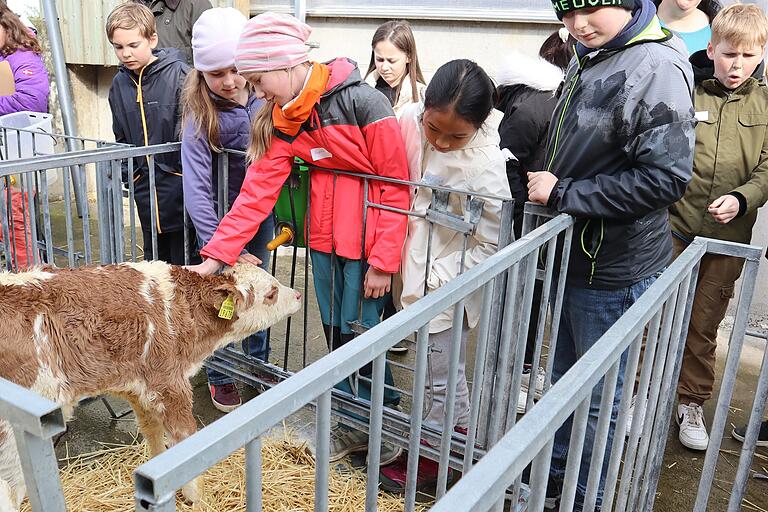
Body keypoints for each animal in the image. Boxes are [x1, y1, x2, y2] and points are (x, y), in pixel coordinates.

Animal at [0, 262, 302, 510]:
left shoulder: (137, 385)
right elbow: (184, 439)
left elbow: (154, 435)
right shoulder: (170, 382)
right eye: (271, 293)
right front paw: (197, 498)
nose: (298, 295)